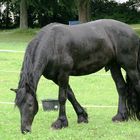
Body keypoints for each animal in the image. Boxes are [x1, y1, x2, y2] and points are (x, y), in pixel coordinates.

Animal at [11, 19, 140, 133]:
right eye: (18, 106)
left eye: (30, 104)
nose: (25, 130)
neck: (52, 44)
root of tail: (132, 32)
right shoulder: (56, 78)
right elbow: (70, 95)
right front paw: (82, 116)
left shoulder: (63, 74)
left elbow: (62, 98)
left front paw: (60, 122)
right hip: (114, 65)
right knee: (121, 87)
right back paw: (120, 116)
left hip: (130, 67)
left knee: (136, 83)